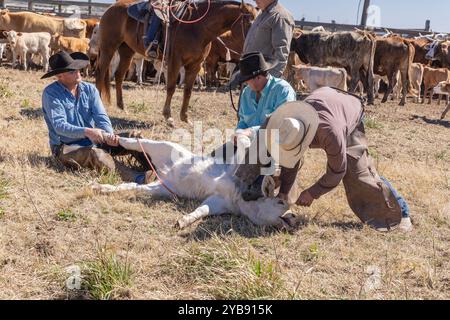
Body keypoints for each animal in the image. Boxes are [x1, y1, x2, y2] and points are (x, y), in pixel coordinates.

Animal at [91, 138, 298, 230]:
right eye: (280, 202)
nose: (294, 216)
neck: (241, 198)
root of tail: (165, 171)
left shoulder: (217, 203)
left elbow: (202, 210)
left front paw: (183, 221)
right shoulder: (235, 169)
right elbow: (242, 151)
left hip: (163, 189)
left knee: (133, 188)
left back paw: (101, 188)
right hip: (163, 146)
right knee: (135, 142)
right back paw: (110, 138)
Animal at [96, 0, 256, 122]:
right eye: (249, 22)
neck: (198, 28)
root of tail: (111, 8)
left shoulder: (195, 65)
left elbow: (188, 90)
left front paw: (185, 117)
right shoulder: (175, 61)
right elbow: (171, 88)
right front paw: (168, 116)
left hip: (126, 51)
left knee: (119, 76)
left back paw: (122, 107)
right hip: (108, 48)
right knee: (100, 73)